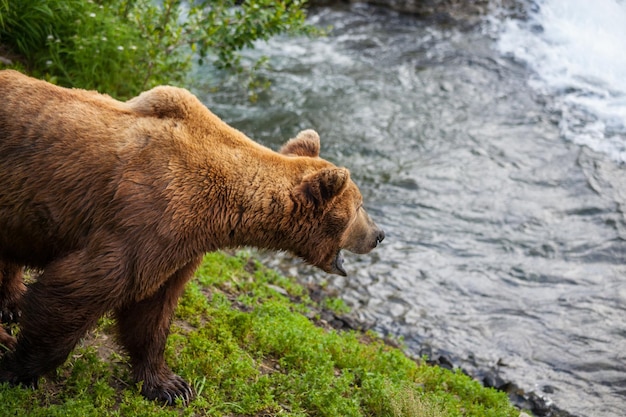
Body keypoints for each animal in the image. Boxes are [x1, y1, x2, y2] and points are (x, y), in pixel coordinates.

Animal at [0, 70, 382, 404]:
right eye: (359, 206)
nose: (379, 234)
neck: (223, 211)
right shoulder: (148, 220)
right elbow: (77, 290)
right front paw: (17, 368)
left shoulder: (177, 249)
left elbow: (153, 312)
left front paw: (170, 385)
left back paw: (10, 305)